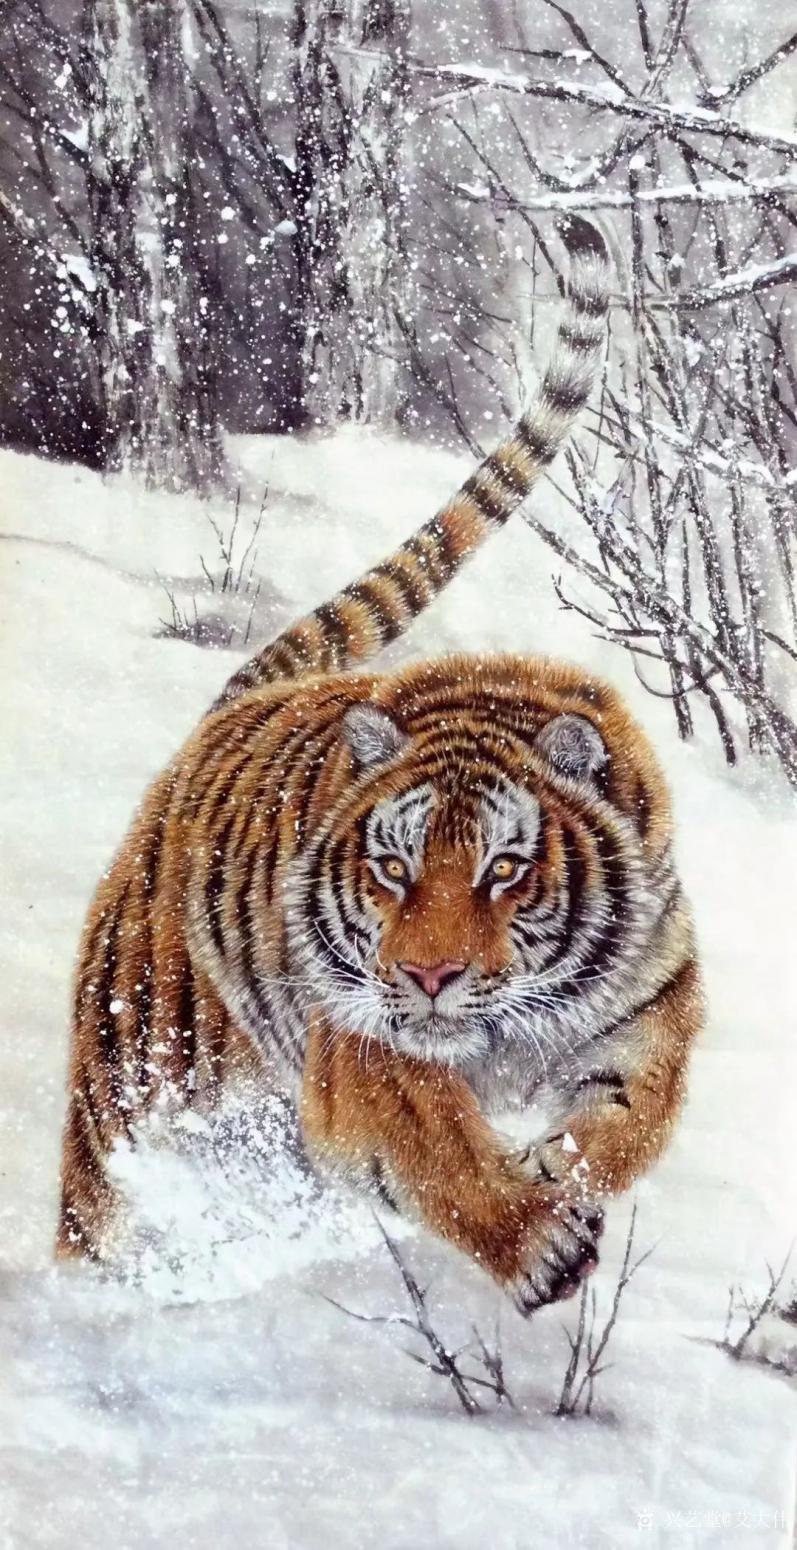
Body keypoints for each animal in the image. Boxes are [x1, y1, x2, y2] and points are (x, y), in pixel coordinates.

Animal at [57, 216, 703, 1316]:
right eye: (392, 868)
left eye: (502, 869)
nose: (427, 975)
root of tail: (231, 706)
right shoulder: (364, 1051)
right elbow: (434, 1147)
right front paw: (536, 1240)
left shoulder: (651, 1007)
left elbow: (629, 1117)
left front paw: (560, 1170)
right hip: (133, 1066)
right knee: (96, 1205)